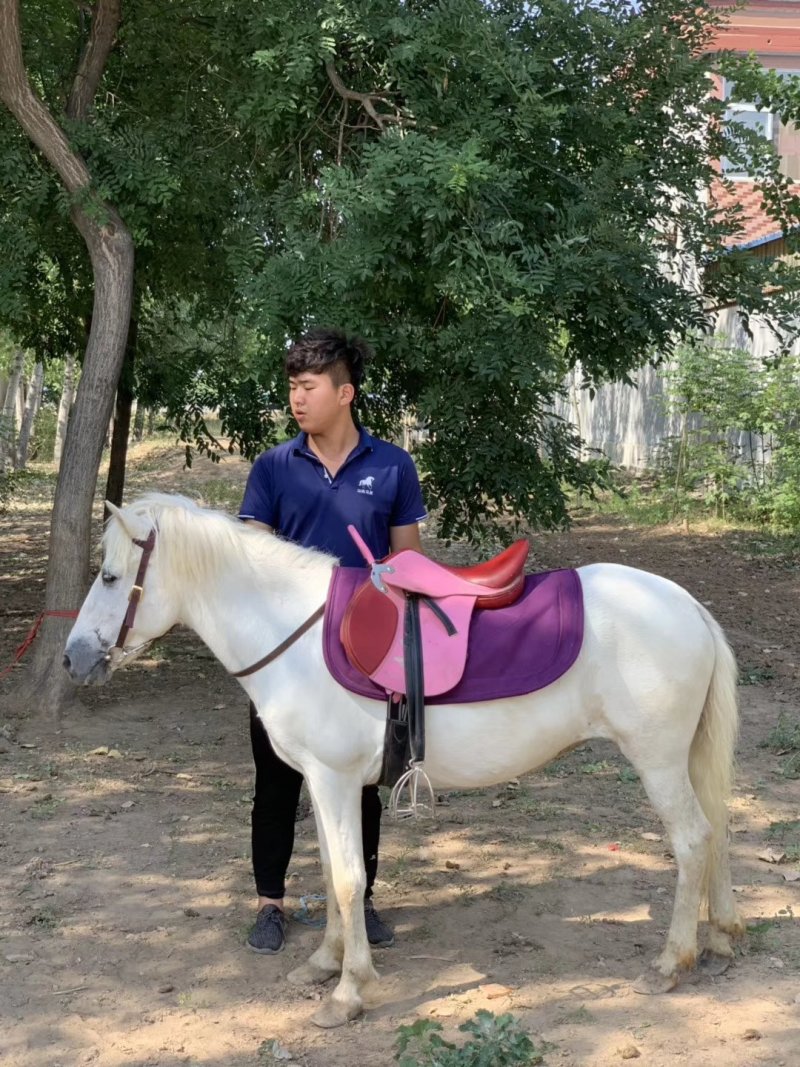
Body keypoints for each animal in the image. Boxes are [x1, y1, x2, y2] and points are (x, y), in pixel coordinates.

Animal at [63, 493, 743, 1029]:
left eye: (109, 576)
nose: (73, 658)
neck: (295, 632)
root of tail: (688, 606)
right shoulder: (322, 782)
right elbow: (332, 874)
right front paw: (326, 962)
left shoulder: (335, 779)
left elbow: (347, 879)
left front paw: (349, 992)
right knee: (714, 835)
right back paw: (718, 938)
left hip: (657, 762)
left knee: (692, 841)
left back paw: (671, 962)